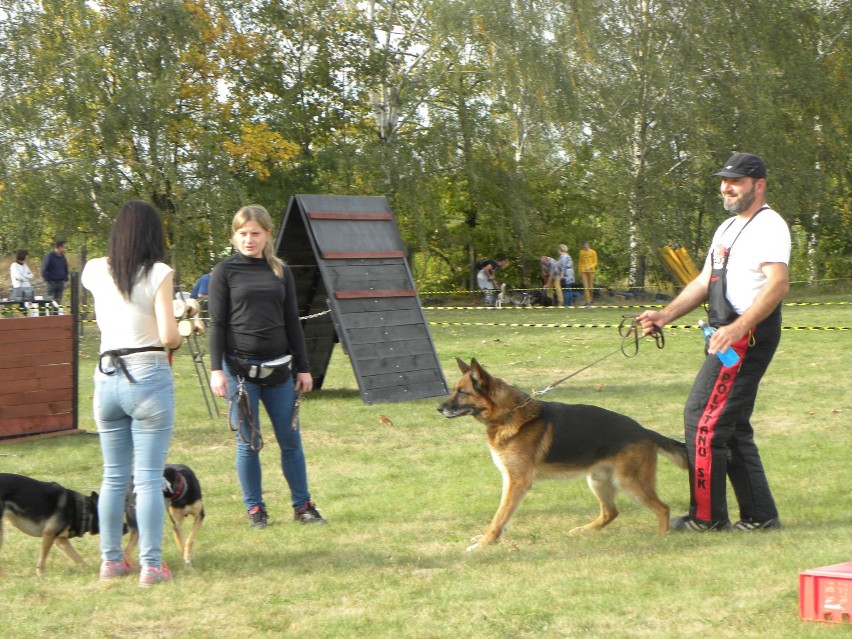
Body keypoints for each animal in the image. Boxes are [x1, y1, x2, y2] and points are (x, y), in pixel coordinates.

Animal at [436, 360, 688, 552]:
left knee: (663, 508)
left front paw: (483, 544)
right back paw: (583, 531)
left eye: (462, 392)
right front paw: (490, 539)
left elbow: (499, 517)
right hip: (597, 481)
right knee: (611, 512)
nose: (438, 408)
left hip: (628, 483)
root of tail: (644, 431)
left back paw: (661, 538)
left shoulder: (518, 482)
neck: (508, 414)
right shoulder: (509, 481)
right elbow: (503, 515)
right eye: (455, 390)